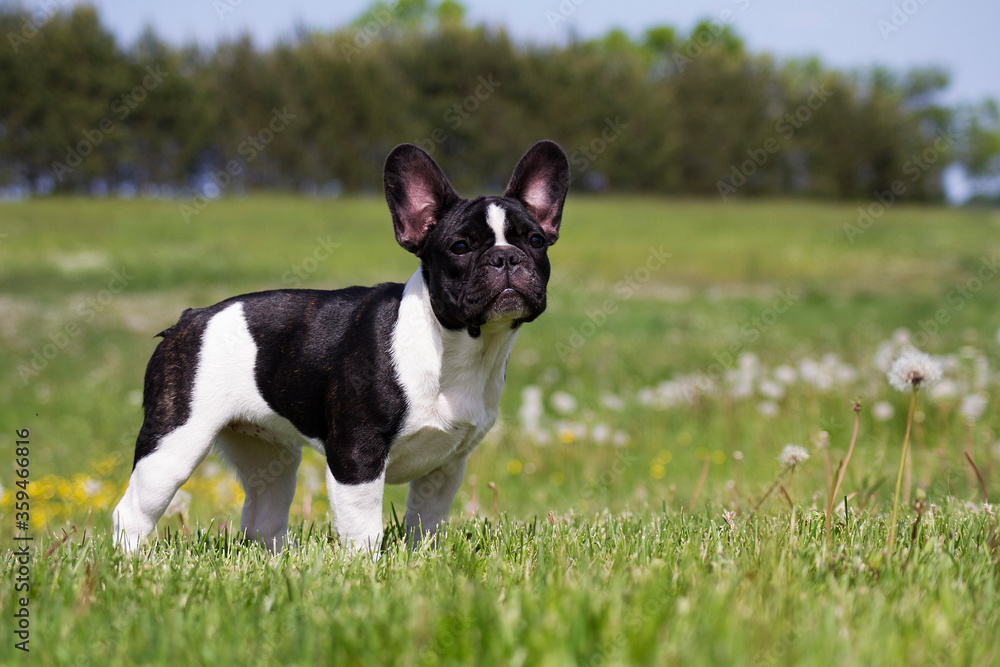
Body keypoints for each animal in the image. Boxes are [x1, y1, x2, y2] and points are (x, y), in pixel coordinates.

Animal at [112, 140, 568, 552]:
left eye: (535, 241)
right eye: (460, 247)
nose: (506, 257)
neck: (454, 345)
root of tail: (189, 318)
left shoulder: (446, 466)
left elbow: (426, 523)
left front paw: (422, 560)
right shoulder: (356, 456)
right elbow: (364, 530)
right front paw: (367, 572)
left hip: (268, 454)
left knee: (263, 514)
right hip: (174, 443)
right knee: (133, 511)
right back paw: (132, 564)